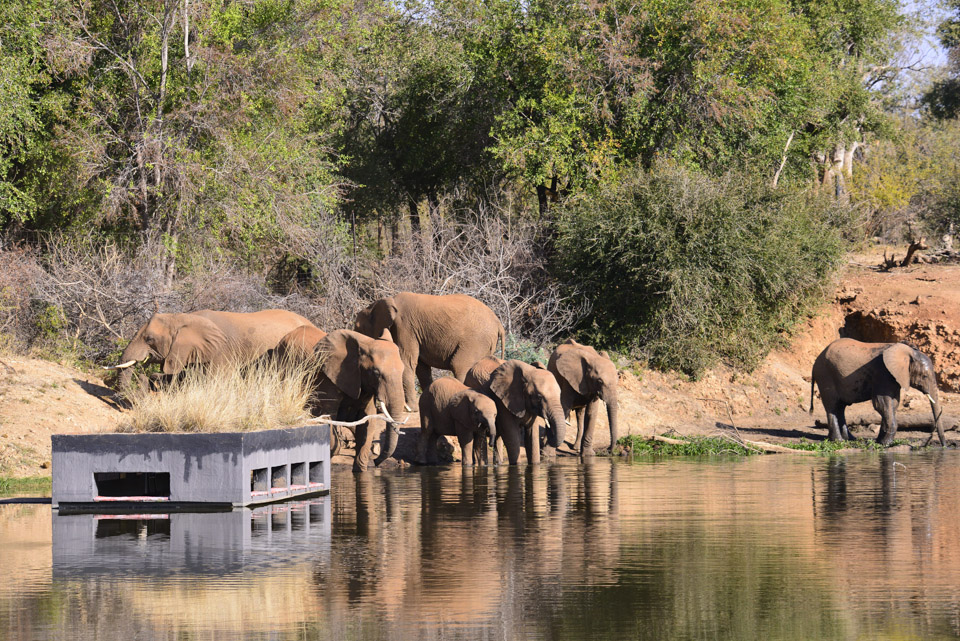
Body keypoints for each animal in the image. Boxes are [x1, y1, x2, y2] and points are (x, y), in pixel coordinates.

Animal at [311, 329, 408, 471]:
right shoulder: (327, 379)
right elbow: (327, 417)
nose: (376, 462)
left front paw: (360, 471)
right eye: (376, 373)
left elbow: (367, 421)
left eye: (402, 371)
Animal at [354, 292, 506, 405]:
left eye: (359, 328)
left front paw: (411, 408)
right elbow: (422, 368)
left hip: (476, 340)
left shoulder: (404, 327)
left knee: (460, 366)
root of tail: (499, 323)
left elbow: (407, 362)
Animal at [810, 338, 944, 446]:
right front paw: (886, 444)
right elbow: (882, 404)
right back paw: (838, 441)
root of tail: (816, 360)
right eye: (925, 376)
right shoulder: (883, 373)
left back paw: (850, 439)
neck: (907, 351)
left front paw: (880, 442)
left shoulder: (893, 377)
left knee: (840, 407)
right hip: (825, 375)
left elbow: (893, 404)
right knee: (832, 406)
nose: (944, 446)